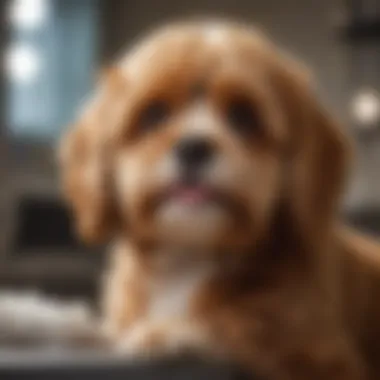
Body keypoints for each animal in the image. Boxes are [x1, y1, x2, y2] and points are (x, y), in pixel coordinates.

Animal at [58, 20, 380, 380]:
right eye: (154, 115)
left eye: (244, 117)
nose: (193, 147)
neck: (189, 255)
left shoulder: (323, 356)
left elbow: (239, 326)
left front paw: (170, 331)